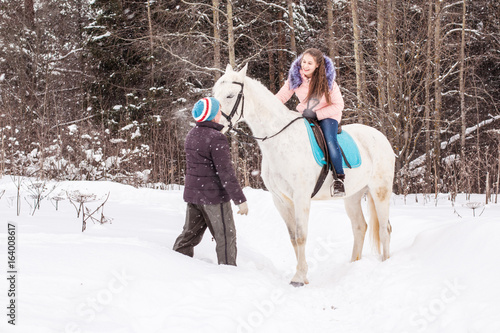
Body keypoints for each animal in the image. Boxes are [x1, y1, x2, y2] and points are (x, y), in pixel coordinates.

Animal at [213, 64, 396, 286]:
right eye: (215, 92)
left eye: (230, 95)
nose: (215, 122)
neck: (280, 140)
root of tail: (381, 137)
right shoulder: (280, 200)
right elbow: (293, 237)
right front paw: (302, 275)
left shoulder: (301, 197)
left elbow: (301, 235)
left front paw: (299, 278)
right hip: (352, 196)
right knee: (360, 227)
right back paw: (353, 266)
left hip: (380, 191)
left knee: (385, 229)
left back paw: (385, 264)